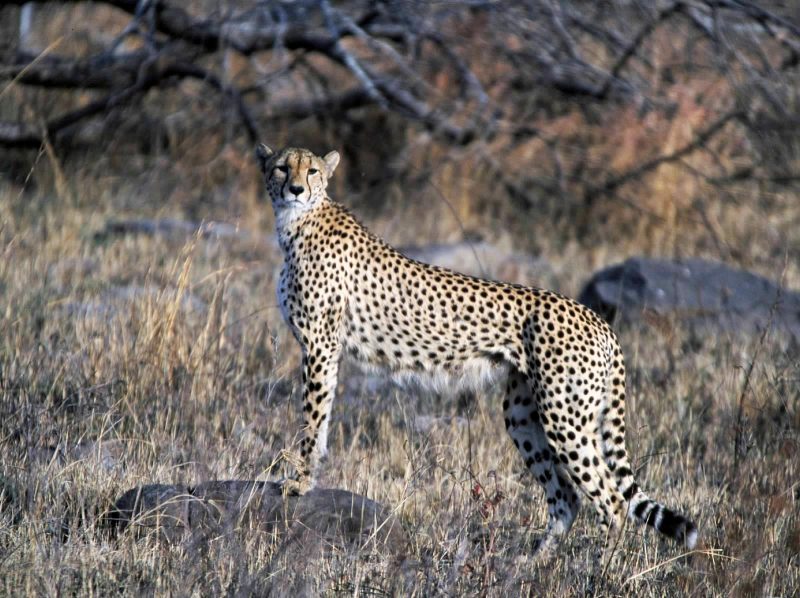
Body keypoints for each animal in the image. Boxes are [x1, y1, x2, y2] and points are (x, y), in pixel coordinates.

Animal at [254, 144, 698, 557]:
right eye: (282, 168)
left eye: (311, 171)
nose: (295, 189)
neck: (297, 222)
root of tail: (598, 319)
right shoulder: (323, 349)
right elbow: (321, 417)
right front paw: (305, 475)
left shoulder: (319, 345)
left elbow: (312, 419)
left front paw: (299, 480)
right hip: (524, 414)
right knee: (566, 498)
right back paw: (533, 566)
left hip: (564, 416)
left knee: (612, 500)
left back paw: (596, 569)